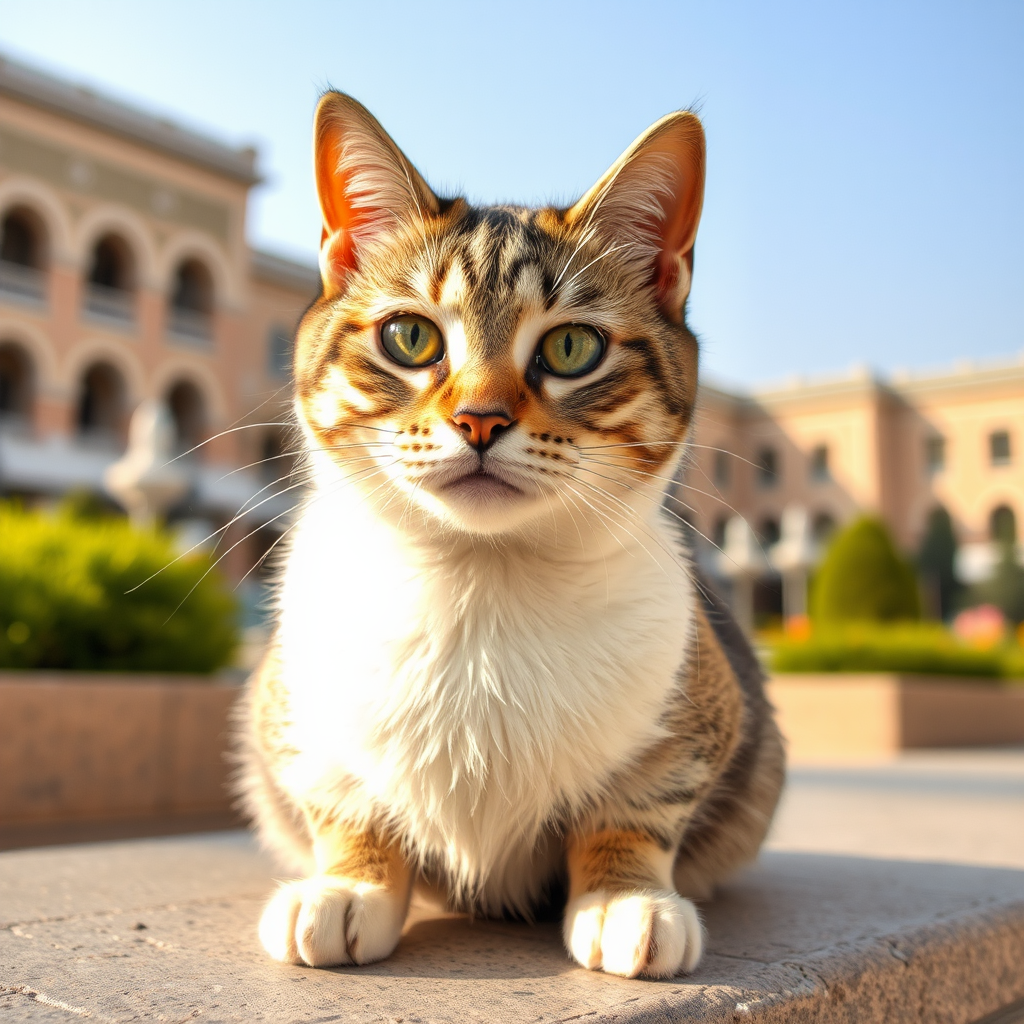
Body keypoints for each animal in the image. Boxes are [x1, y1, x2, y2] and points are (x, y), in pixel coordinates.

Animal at [237, 92, 782, 978]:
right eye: (410, 337)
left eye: (572, 346)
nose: (480, 419)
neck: (480, 578)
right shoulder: (294, 715)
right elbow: (340, 795)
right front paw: (350, 881)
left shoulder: (703, 708)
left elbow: (644, 798)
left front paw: (626, 892)